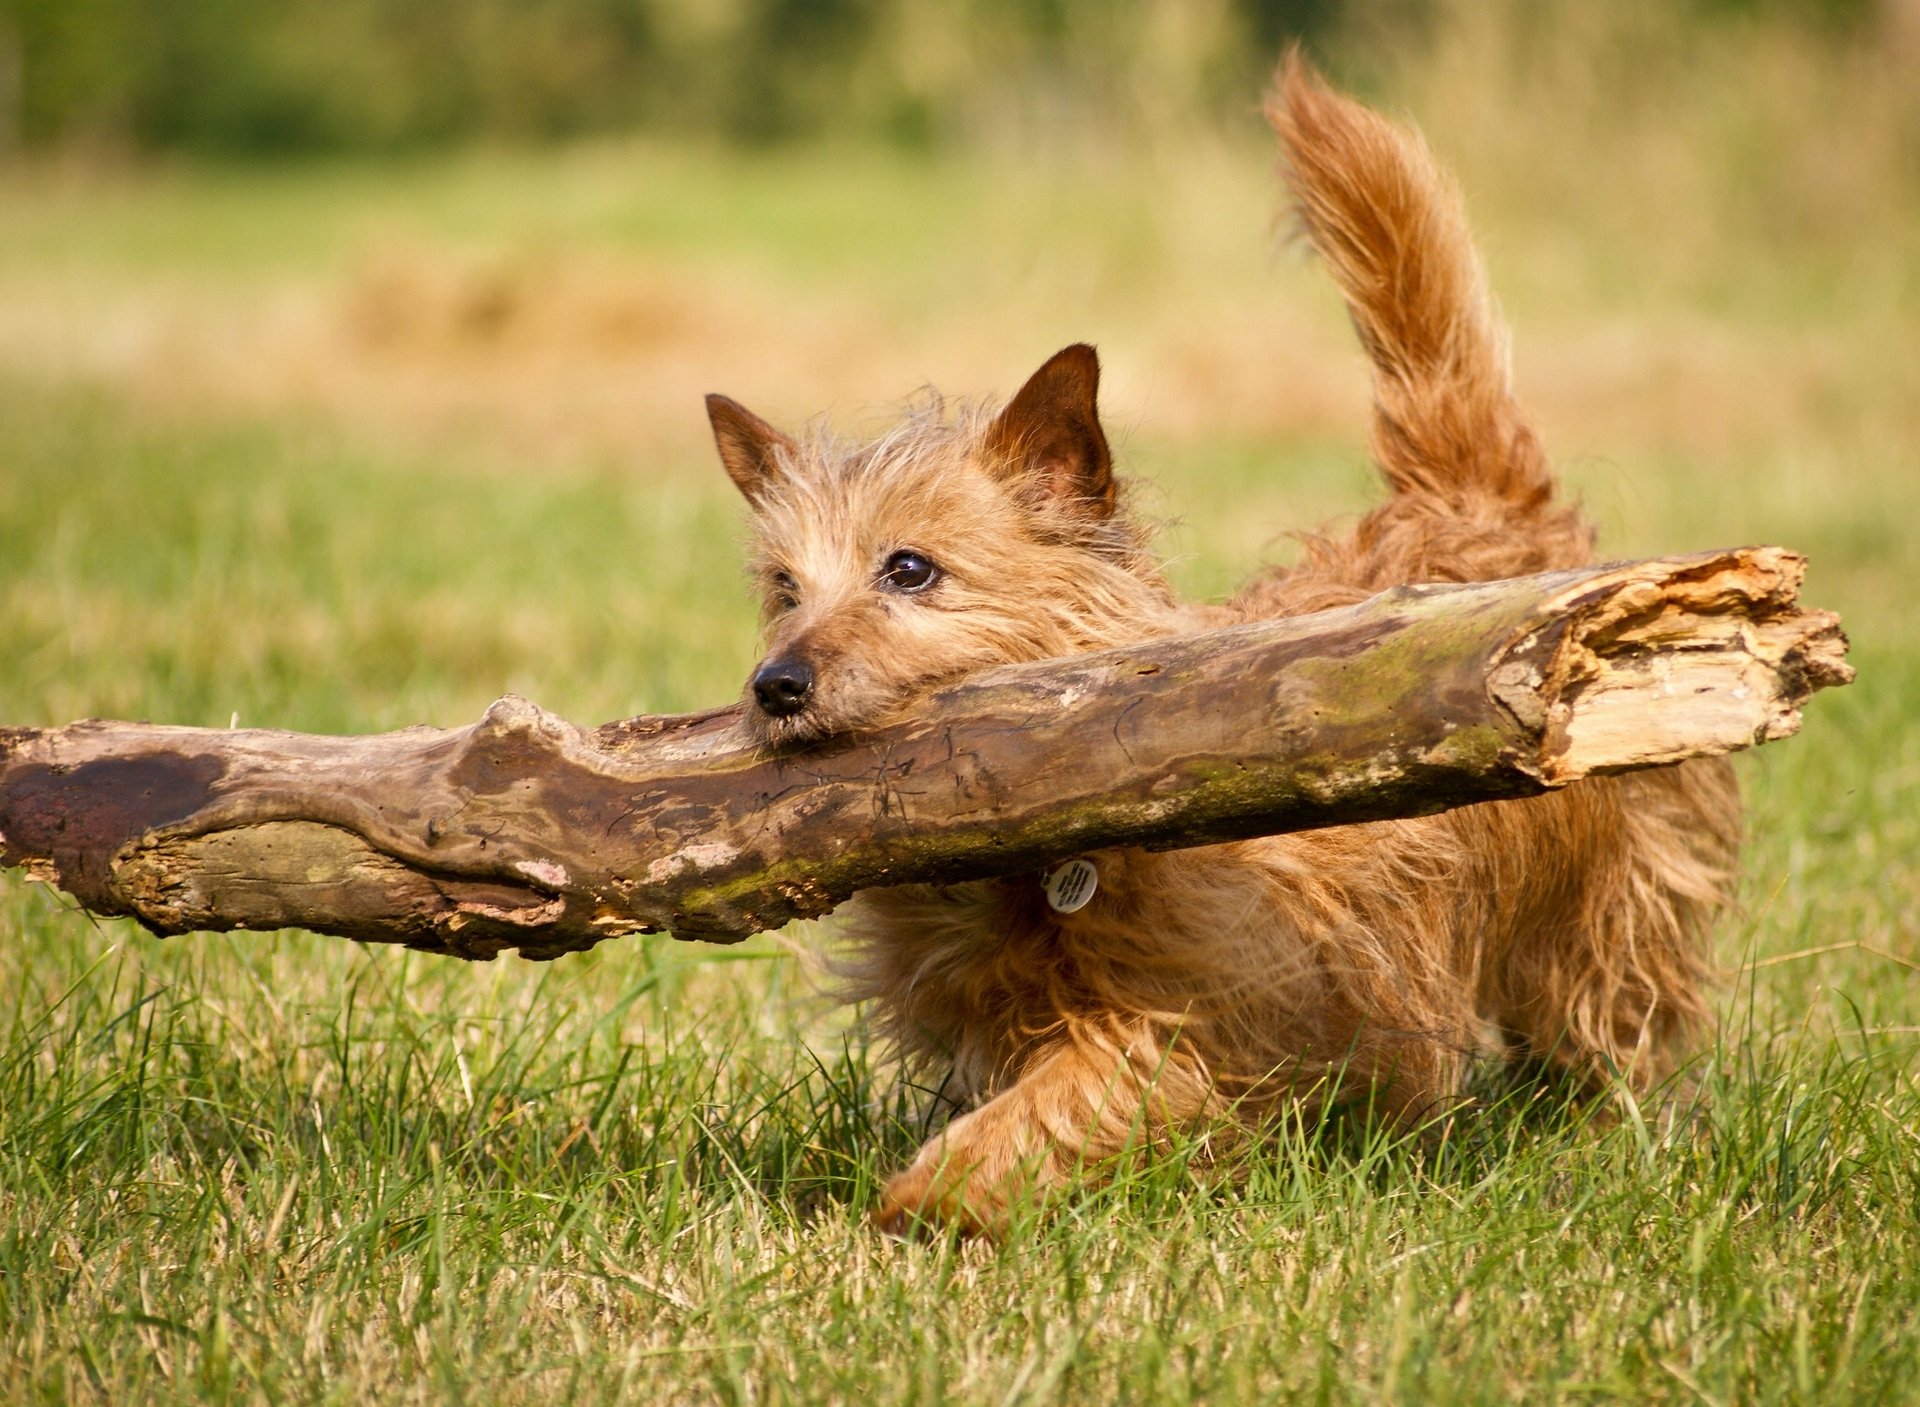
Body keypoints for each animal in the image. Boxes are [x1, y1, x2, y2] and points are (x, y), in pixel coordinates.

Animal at [702, 60, 1743, 1236]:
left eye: (911, 570)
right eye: (784, 589)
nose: (776, 685)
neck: (1017, 877)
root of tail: (1479, 502)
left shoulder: (1206, 1023)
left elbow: (1074, 1091)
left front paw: (934, 1194)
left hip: (1608, 907)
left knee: (1618, 1015)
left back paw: (1611, 1133)